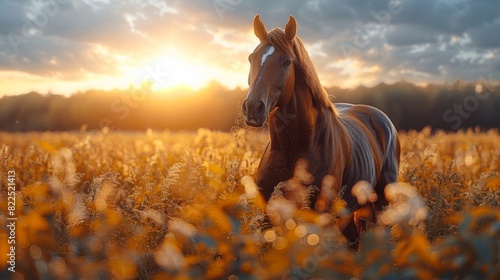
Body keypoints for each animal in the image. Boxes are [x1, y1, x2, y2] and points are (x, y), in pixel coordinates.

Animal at [242, 15, 402, 247]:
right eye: (251, 58)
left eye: (286, 61)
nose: (253, 107)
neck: (294, 148)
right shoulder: (267, 216)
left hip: (382, 201)